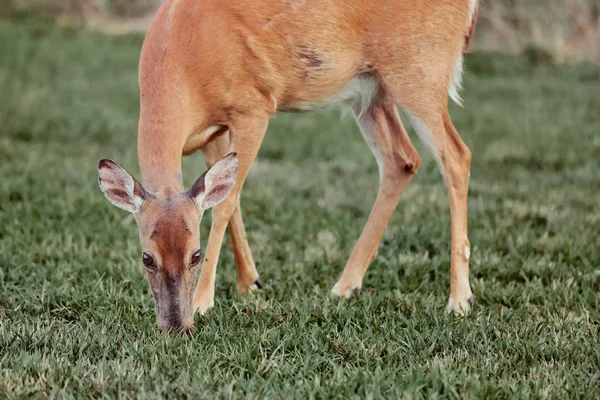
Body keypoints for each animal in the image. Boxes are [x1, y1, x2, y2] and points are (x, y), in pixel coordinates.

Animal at [101, 0, 480, 332]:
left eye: (195, 255)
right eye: (146, 257)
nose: (176, 326)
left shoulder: (253, 107)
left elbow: (225, 203)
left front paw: (203, 300)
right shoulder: (215, 132)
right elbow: (230, 199)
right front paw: (250, 282)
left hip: (420, 72)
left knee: (456, 155)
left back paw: (459, 300)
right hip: (372, 90)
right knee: (401, 158)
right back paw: (346, 285)